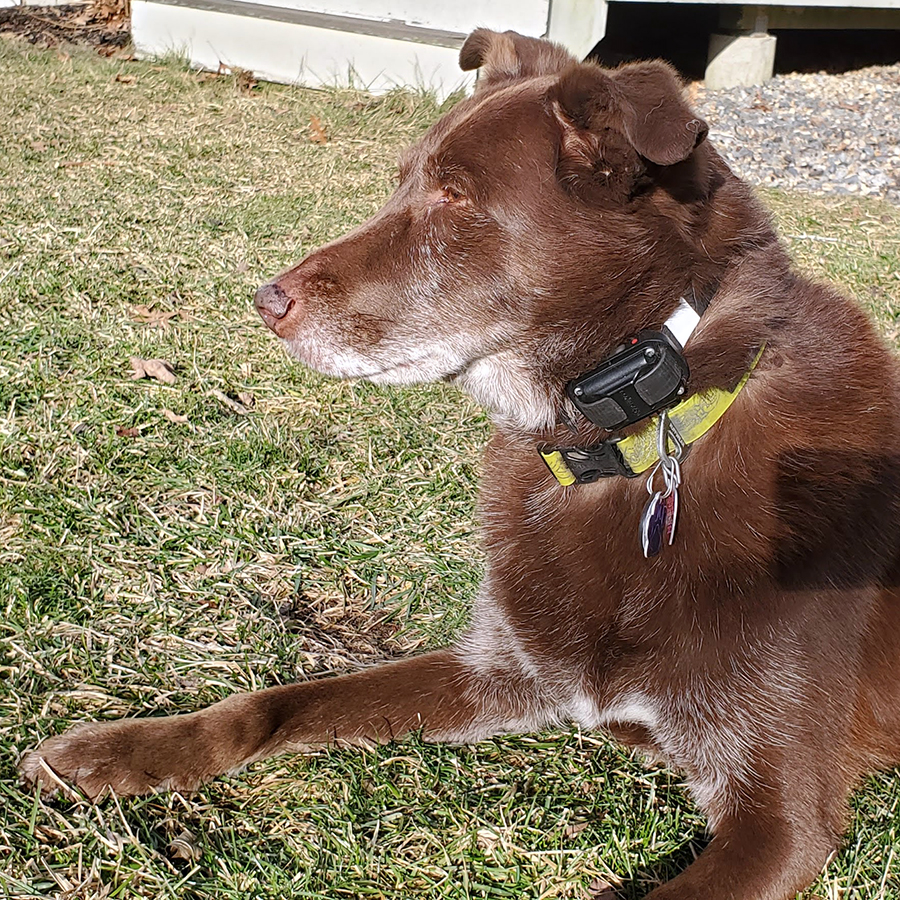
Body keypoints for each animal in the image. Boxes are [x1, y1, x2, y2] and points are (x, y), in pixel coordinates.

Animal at [19, 28, 900, 900]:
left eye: (455, 197)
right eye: (402, 183)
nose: (266, 301)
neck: (627, 443)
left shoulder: (781, 820)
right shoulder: (500, 672)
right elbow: (269, 705)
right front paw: (113, 751)